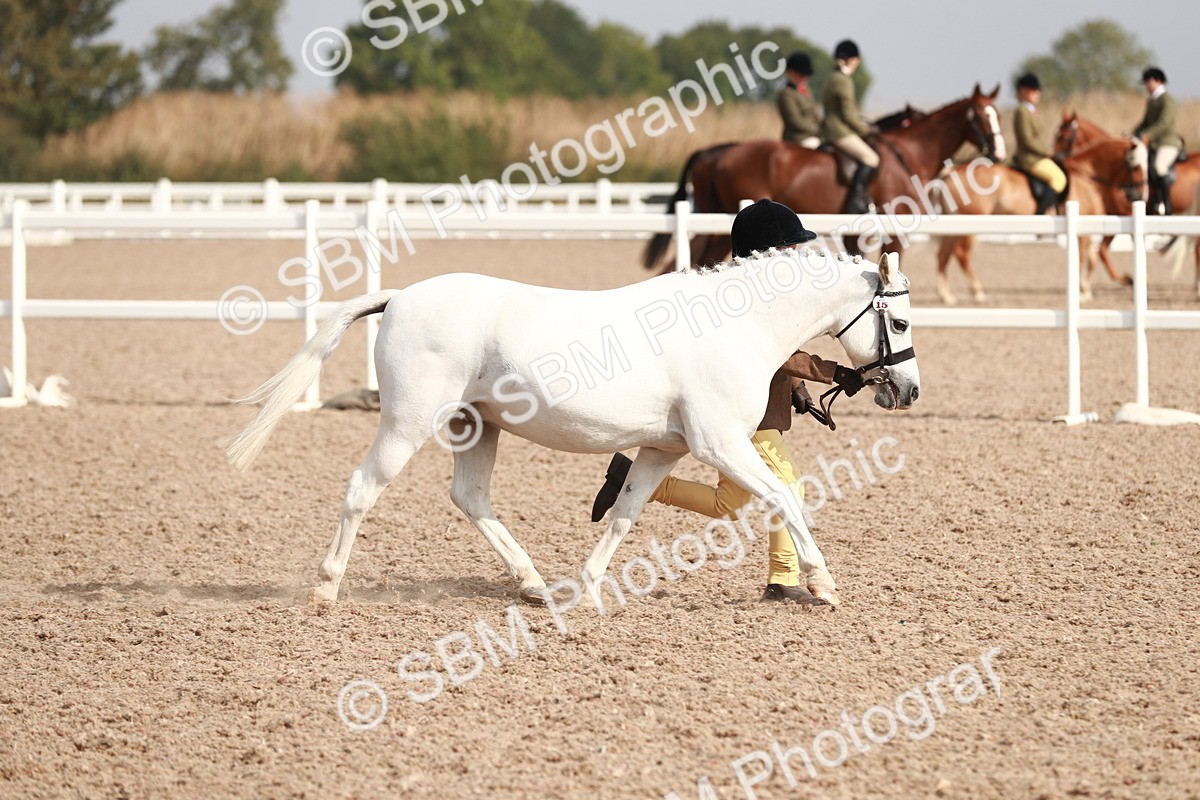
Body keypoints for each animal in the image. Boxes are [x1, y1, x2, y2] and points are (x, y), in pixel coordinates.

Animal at [224, 251, 920, 609]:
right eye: (901, 322)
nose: (908, 392)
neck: (733, 324)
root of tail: (399, 297)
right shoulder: (720, 444)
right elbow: (784, 499)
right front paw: (823, 585)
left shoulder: (663, 449)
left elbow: (626, 515)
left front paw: (586, 590)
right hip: (407, 422)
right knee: (361, 490)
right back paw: (326, 588)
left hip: (476, 427)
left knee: (470, 497)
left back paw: (535, 585)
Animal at [643, 85, 1004, 273]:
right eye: (981, 117)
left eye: (997, 115)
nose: (999, 154)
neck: (906, 152)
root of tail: (715, 151)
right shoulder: (894, 228)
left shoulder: (856, 230)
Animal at [933, 136, 1147, 304]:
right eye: (1136, 165)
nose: (1142, 195)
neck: (1086, 177)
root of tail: (952, 172)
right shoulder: (1082, 232)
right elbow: (1081, 259)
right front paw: (1081, 293)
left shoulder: (1086, 230)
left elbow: (1092, 260)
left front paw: (1086, 291)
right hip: (970, 224)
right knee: (961, 255)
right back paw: (978, 292)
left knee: (943, 255)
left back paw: (946, 295)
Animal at [1057, 112, 1200, 299]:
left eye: (1065, 137)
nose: (1058, 160)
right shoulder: (1112, 216)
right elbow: (1102, 250)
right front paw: (1129, 280)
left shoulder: (1124, 215)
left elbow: (1107, 249)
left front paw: (1134, 280)